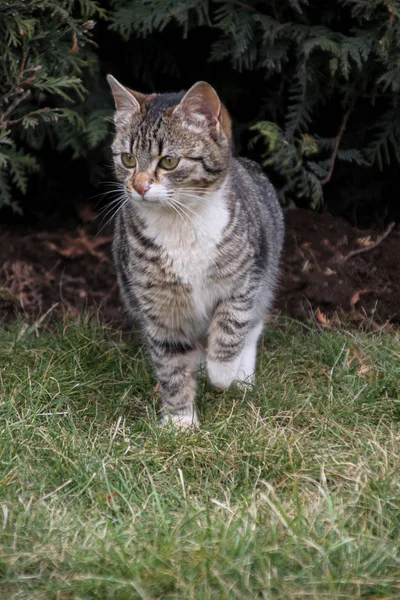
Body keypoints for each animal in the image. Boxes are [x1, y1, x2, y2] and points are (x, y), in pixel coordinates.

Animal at [105, 75, 284, 428]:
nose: (140, 186)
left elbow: (231, 325)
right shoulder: (157, 304)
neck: (181, 222)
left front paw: (222, 372)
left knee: (252, 325)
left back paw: (240, 375)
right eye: (128, 159)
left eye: (168, 161)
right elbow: (171, 362)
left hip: (267, 269)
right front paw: (181, 422)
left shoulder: (245, 280)